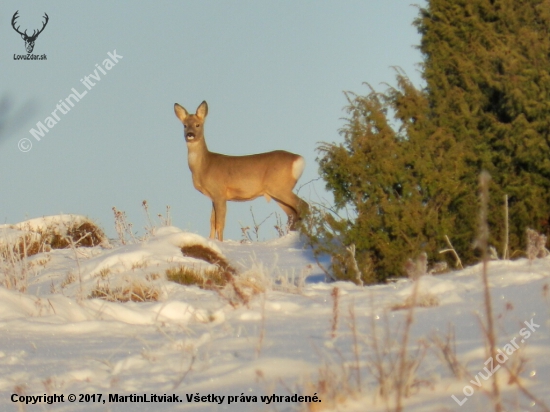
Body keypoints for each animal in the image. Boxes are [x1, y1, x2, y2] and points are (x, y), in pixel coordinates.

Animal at [175, 100, 308, 241]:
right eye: (184, 125)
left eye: (197, 124)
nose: (190, 134)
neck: (204, 166)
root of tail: (299, 159)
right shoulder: (213, 196)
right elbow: (212, 222)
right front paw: (210, 240)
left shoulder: (219, 192)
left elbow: (219, 223)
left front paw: (220, 242)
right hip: (277, 192)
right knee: (292, 214)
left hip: (279, 187)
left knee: (303, 206)